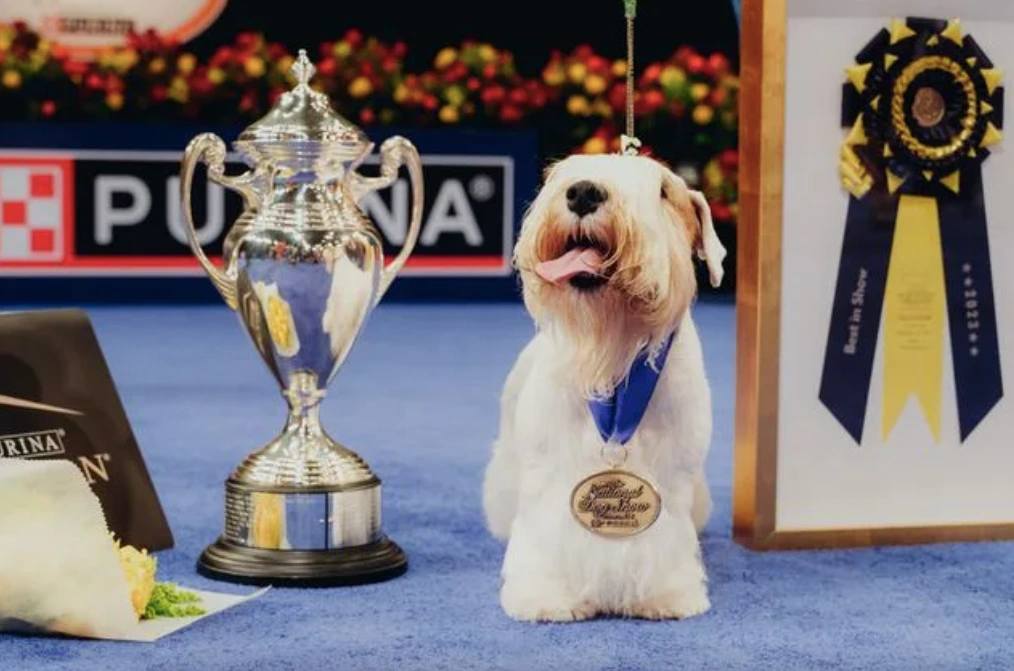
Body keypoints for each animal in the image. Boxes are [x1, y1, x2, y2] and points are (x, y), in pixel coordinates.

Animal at [480, 151, 726, 620]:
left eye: (663, 191)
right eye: (561, 173)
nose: (583, 193)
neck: (613, 357)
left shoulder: (673, 479)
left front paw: (667, 594)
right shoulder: (546, 477)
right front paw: (545, 595)